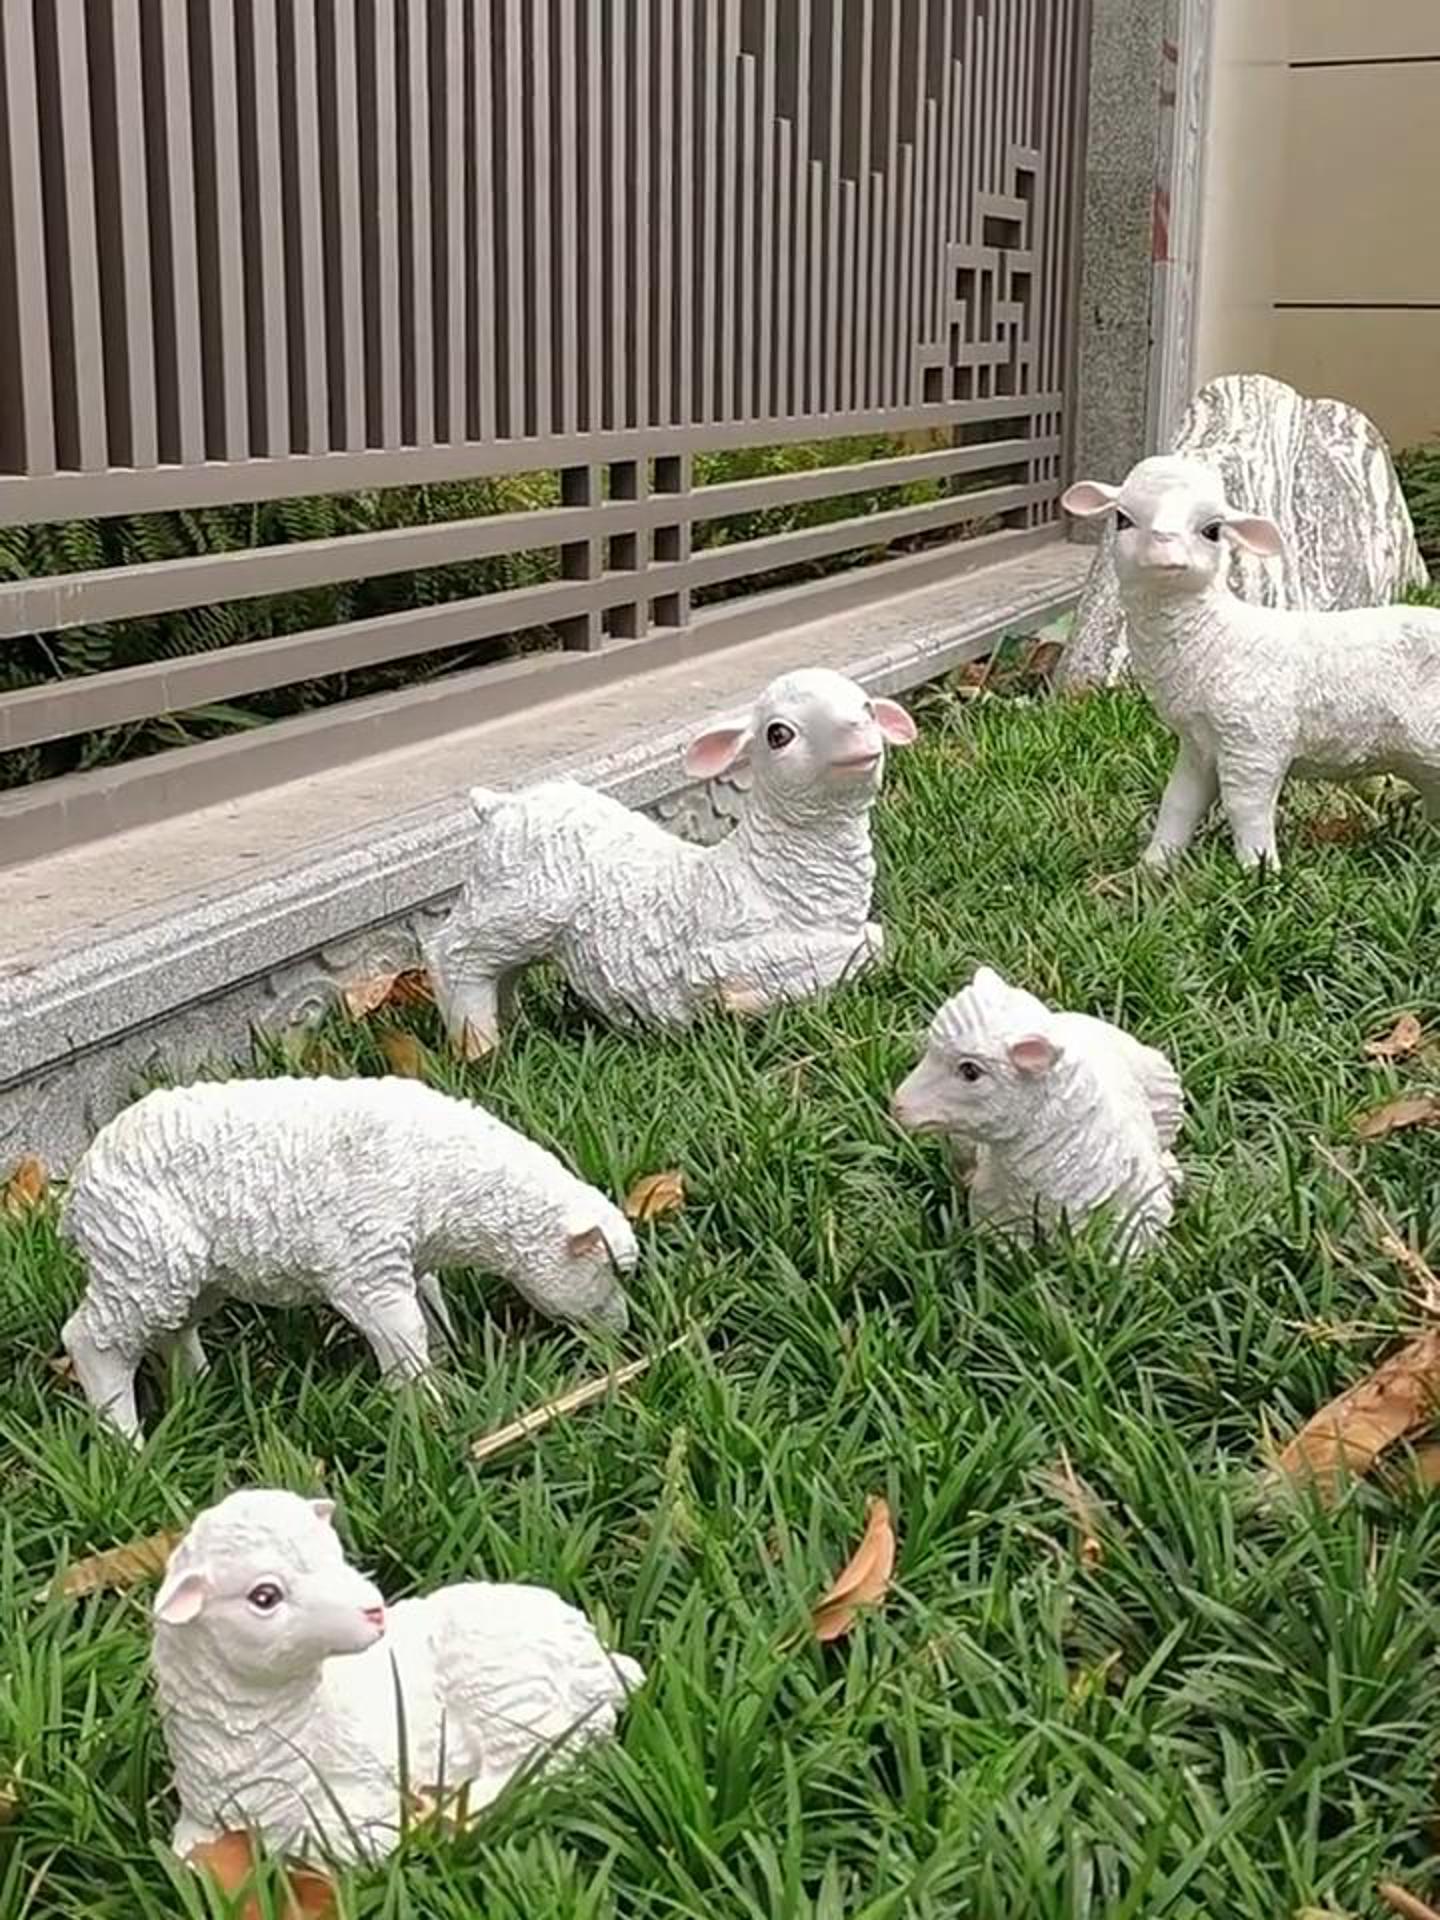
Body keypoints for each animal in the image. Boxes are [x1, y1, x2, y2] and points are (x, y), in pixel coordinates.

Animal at [60, 1076, 638, 1444]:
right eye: (609, 1272)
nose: (623, 1332)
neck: (448, 1177)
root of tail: (80, 1187)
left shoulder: (406, 1256)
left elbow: (431, 1309)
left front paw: (449, 1364)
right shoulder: (367, 1267)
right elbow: (404, 1333)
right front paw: (426, 1410)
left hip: (186, 1272)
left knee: (174, 1329)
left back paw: (201, 1390)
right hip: (139, 1254)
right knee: (91, 1342)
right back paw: (126, 1444)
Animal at [150, 1488, 645, 1864]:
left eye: (336, 1554)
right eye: (264, 1596)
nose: (374, 1609)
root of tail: (592, 1649)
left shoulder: (356, 1785)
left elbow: (334, 1836)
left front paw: (400, 1824)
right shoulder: (201, 1814)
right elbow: (182, 1851)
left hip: (505, 1687)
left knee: (558, 1752)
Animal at [420, 668, 917, 1055]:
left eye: (869, 709)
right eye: (779, 734)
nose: (857, 730)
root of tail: (499, 804)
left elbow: (876, 940)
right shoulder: (717, 956)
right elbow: (857, 949)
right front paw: (739, 1004)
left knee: (499, 972)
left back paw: (513, 1028)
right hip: (518, 901)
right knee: (452, 953)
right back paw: (481, 1049)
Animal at [1064, 454, 1440, 870]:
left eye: (1212, 530)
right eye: (1122, 519)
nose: (1165, 546)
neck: (1215, 637)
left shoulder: (1254, 738)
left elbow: (1245, 807)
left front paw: (1260, 869)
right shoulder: (1200, 744)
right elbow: (1178, 802)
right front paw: (1152, 867)